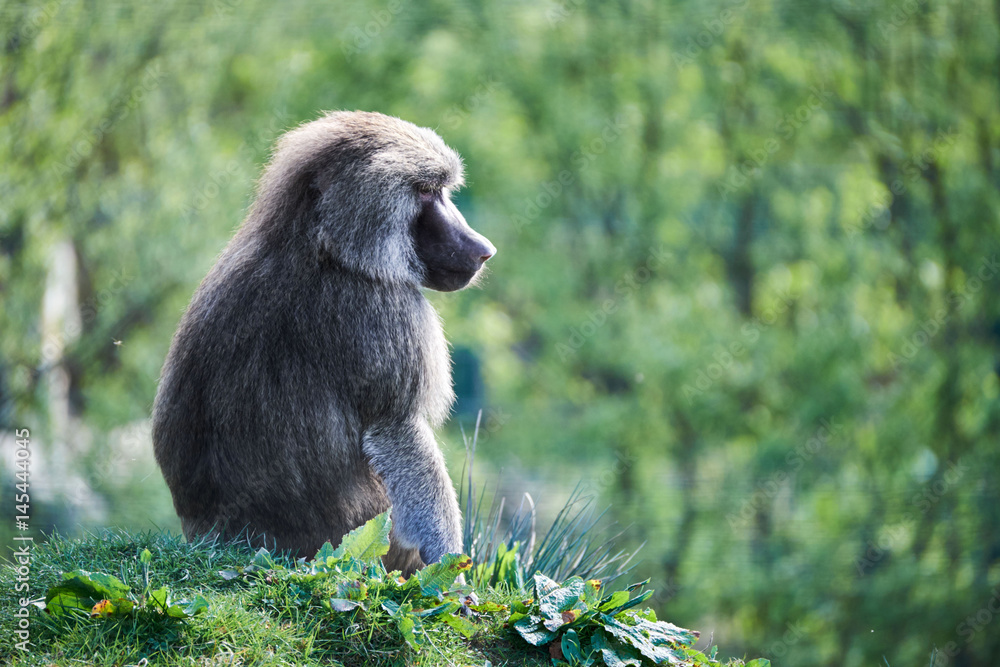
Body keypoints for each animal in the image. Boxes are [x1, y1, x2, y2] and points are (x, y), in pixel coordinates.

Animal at [152, 111, 495, 575]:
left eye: (440, 189)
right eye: (425, 190)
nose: (483, 250)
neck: (321, 246)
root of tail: (220, 538)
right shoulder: (387, 309)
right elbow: (398, 430)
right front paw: (448, 568)